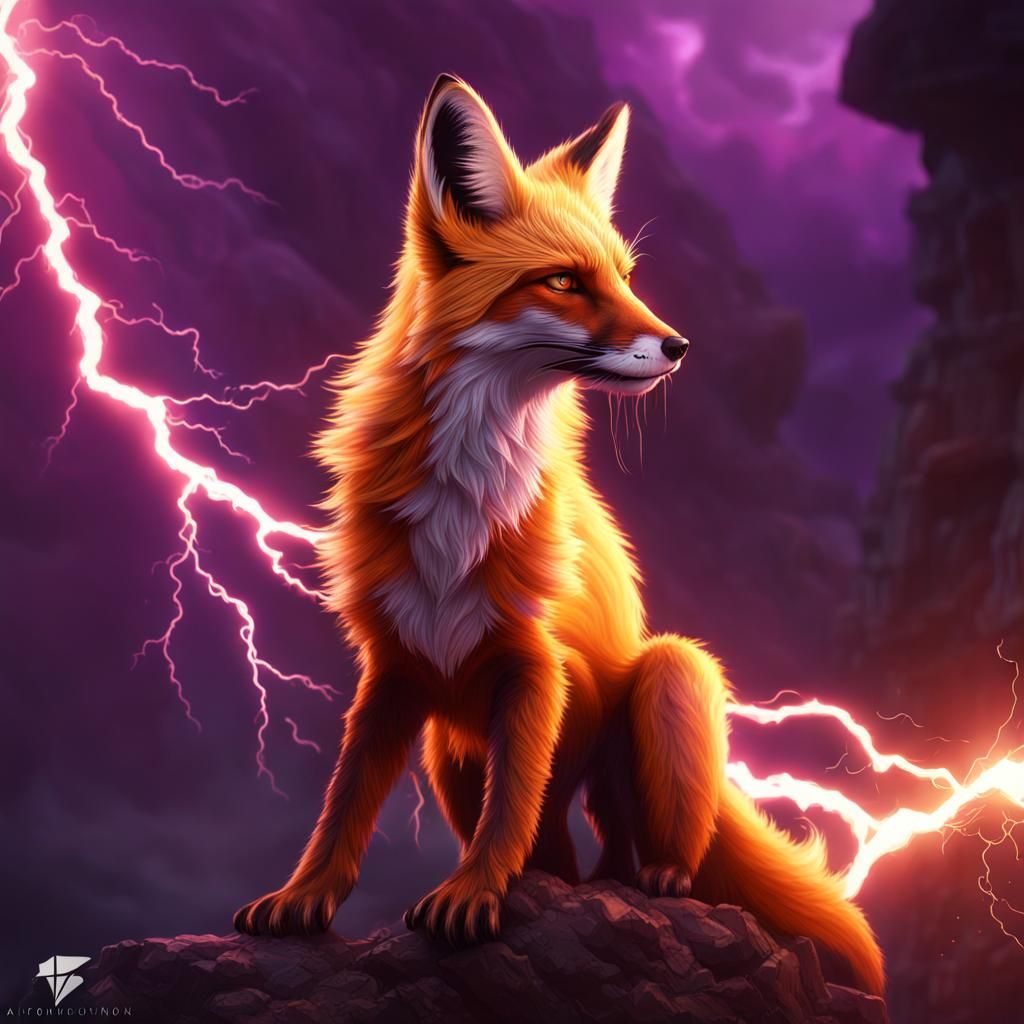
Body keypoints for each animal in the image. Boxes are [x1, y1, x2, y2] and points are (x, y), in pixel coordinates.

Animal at [234, 74, 884, 995]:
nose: (680, 346)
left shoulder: (536, 663)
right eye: (566, 282)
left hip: (670, 673)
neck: (465, 500)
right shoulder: (393, 665)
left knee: (643, 844)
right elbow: (345, 801)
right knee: (566, 860)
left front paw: (473, 895)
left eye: (624, 277)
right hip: (448, 746)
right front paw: (304, 897)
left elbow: (510, 804)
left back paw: (655, 881)